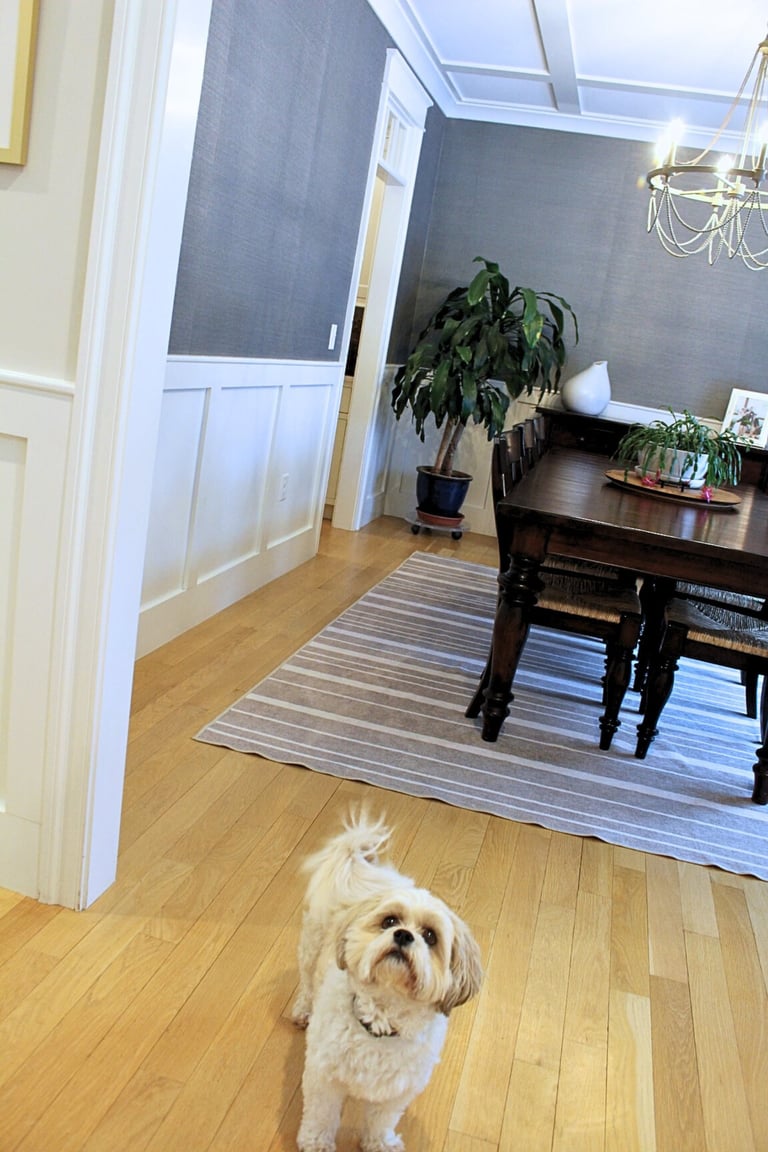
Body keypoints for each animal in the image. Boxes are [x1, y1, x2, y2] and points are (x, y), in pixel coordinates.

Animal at [291, 811, 483, 1152]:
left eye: (430, 936)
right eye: (389, 921)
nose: (403, 935)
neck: (382, 1023)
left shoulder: (397, 1091)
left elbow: (381, 1121)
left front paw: (380, 1143)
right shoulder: (324, 1077)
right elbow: (321, 1115)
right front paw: (316, 1143)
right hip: (311, 942)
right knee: (307, 981)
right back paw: (302, 1010)